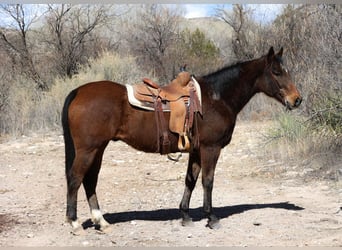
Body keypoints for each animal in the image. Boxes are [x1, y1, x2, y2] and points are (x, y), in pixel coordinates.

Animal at [62, 47, 302, 232]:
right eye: (276, 72)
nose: (297, 100)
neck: (217, 98)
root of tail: (77, 91)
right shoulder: (210, 148)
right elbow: (208, 181)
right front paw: (211, 217)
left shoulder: (195, 150)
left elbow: (190, 180)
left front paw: (185, 215)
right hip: (88, 149)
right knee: (75, 178)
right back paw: (74, 222)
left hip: (98, 149)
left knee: (90, 180)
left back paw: (101, 221)